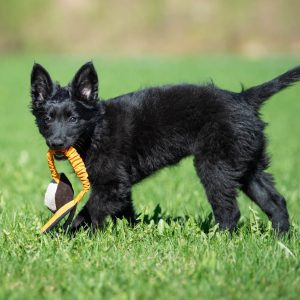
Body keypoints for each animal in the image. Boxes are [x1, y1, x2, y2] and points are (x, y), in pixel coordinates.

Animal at [30, 62, 300, 233]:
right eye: (47, 119)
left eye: (73, 119)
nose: (56, 143)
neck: (96, 130)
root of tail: (243, 97)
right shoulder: (120, 187)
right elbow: (125, 212)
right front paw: (133, 234)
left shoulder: (111, 184)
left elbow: (88, 213)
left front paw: (63, 235)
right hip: (246, 164)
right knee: (275, 202)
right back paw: (281, 240)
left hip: (216, 166)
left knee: (229, 211)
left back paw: (218, 239)